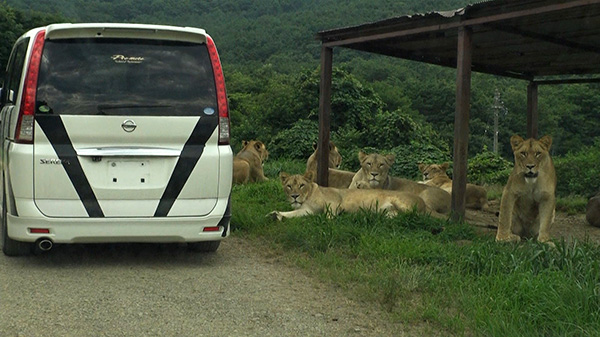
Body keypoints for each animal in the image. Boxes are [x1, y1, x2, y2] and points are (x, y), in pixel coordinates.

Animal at [270, 171, 428, 220]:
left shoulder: (335, 201)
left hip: (403, 203)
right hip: (389, 213)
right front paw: (276, 214)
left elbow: (328, 215)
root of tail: (423, 201)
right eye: (289, 186)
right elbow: (291, 214)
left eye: (302, 185)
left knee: (417, 216)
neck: (308, 196)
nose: (295, 196)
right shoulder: (307, 210)